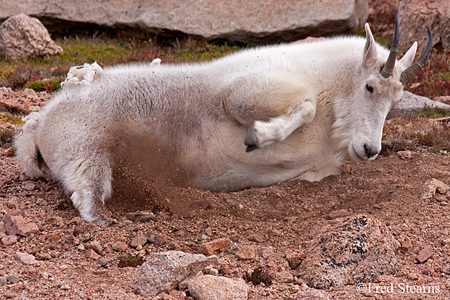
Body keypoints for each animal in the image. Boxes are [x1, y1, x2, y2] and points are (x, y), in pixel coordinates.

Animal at [14, 15, 432, 223]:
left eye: (397, 98)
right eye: (370, 87)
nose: (369, 149)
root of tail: (40, 125)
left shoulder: (316, 166)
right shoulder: (241, 92)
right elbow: (304, 107)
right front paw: (258, 137)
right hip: (87, 147)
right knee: (87, 196)